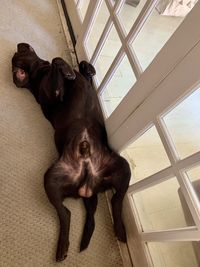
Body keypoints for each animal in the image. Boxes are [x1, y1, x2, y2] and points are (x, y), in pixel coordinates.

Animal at [11, 43, 131, 262]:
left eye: (20, 53)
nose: (20, 45)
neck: (40, 71)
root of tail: (86, 187)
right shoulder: (54, 93)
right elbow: (57, 60)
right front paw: (68, 70)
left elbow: (82, 66)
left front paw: (85, 68)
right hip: (51, 178)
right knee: (66, 213)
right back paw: (63, 247)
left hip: (123, 168)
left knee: (116, 201)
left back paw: (119, 229)